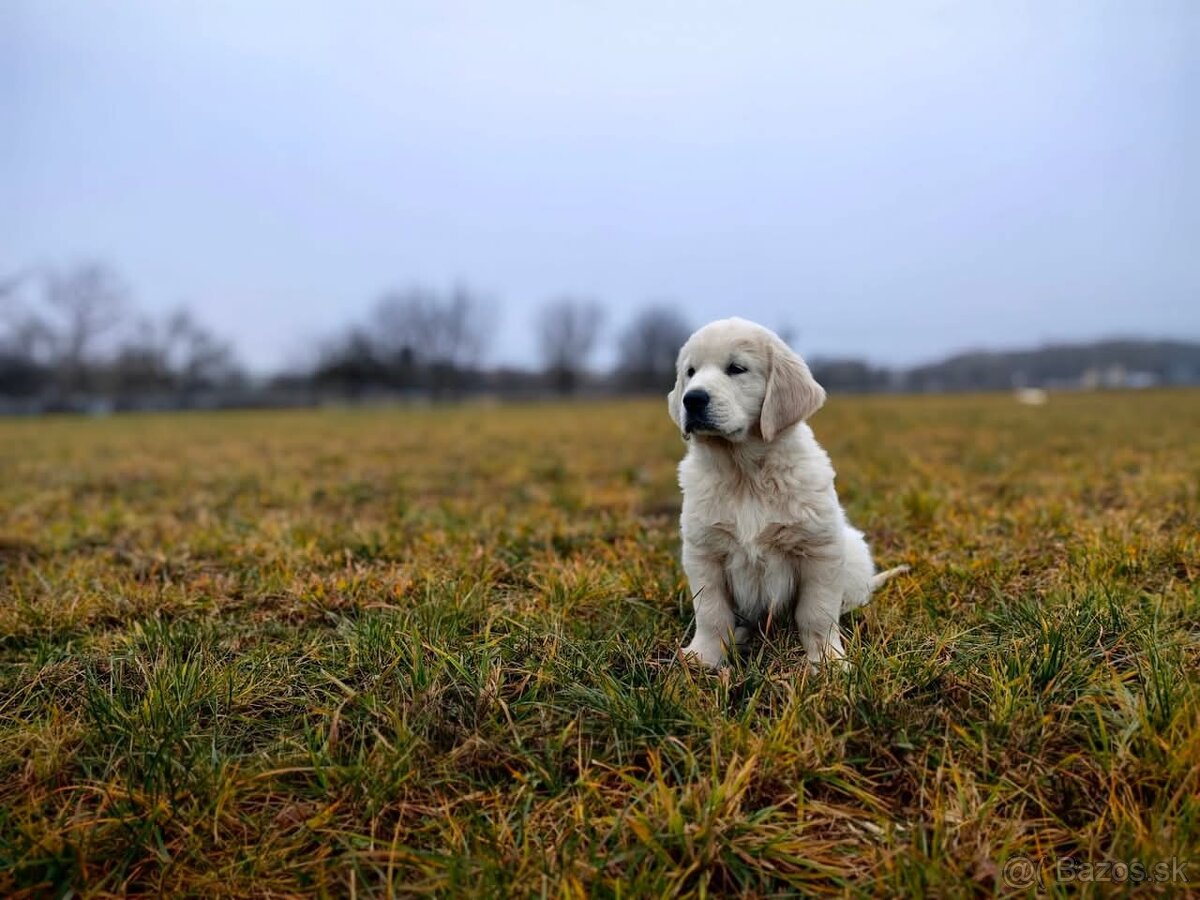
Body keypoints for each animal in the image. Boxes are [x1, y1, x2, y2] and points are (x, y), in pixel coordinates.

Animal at [672, 319, 902, 672]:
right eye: (690, 371)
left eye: (736, 368)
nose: (692, 399)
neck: (745, 474)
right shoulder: (704, 552)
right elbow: (711, 612)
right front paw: (704, 657)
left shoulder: (818, 550)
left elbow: (816, 613)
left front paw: (828, 661)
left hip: (852, 549)